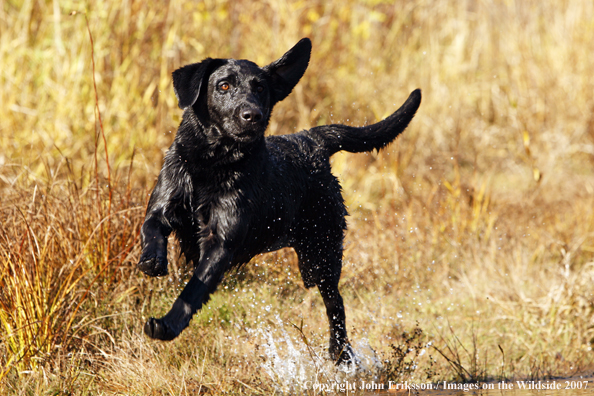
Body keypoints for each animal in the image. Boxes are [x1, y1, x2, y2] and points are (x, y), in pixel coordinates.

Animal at [136, 37, 418, 362]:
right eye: (223, 86)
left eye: (261, 89)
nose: (252, 115)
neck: (212, 163)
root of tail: (312, 140)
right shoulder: (164, 204)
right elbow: (151, 229)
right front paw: (152, 261)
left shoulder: (220, 243)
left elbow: (193, 291)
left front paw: (167, 325)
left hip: (320, 254)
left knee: (335, 302)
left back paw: (340, 352)